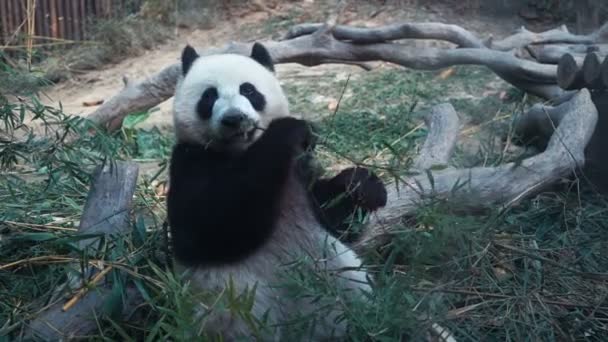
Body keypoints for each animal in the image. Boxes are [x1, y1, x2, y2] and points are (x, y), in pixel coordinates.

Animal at [166, 42, 384, 340]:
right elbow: (208, 227)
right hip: (235, 311)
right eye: (209, 96)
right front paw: (289, 130)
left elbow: (334, 218)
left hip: (342, 283)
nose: (234, 119)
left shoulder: (298, 176)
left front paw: (364, 186)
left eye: (248, 90)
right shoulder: (189, 161)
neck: (240, 151)